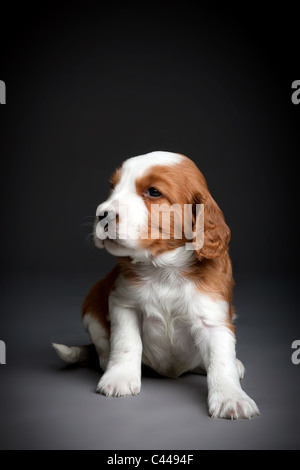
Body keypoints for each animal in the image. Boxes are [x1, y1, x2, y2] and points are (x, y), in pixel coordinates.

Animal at [54, 152, 260, 420]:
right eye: (112, 187)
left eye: (153, 192)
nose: (102, 214)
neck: (165, 268)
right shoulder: (123, 303)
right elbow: (126, 342)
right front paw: (120, 377)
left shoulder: (213, 316)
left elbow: (221, 359)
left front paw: (231, 398)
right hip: (92, 304)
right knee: (101, 347)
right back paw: (107, 361)